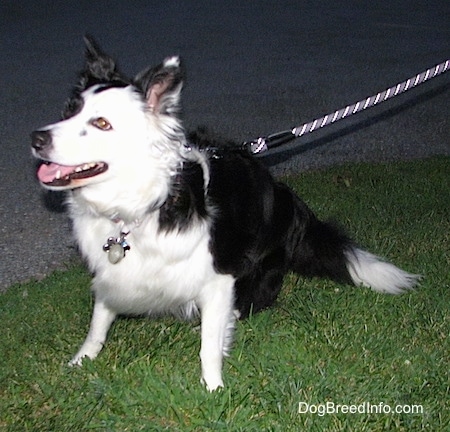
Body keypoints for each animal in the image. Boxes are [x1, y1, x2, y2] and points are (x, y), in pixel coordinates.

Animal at [30, 38, 418, 392]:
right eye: (69, 111)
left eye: (101, 123)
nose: (36, 138)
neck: (144, 204)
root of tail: (293, 210)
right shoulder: (114, 273)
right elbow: (99, 322)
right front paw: (81, 360)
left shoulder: (218, 278)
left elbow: (209, 345)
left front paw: (213, 388)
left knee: (253, 301)